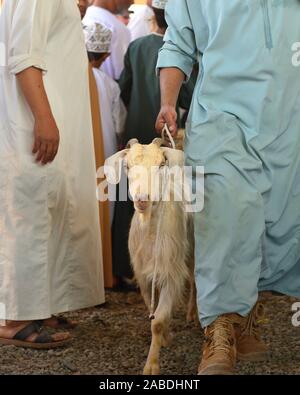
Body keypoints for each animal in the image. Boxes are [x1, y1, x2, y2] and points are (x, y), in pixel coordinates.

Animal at [104, 138, 196, 374]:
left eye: (161, 164)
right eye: (127, 166)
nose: (142, 199)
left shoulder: (171, 272)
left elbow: (157, 322)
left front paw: (152, 365)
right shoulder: (144, 276)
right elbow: (153, 312)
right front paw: (166, 336)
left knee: (194, 280)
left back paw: (193, 314)